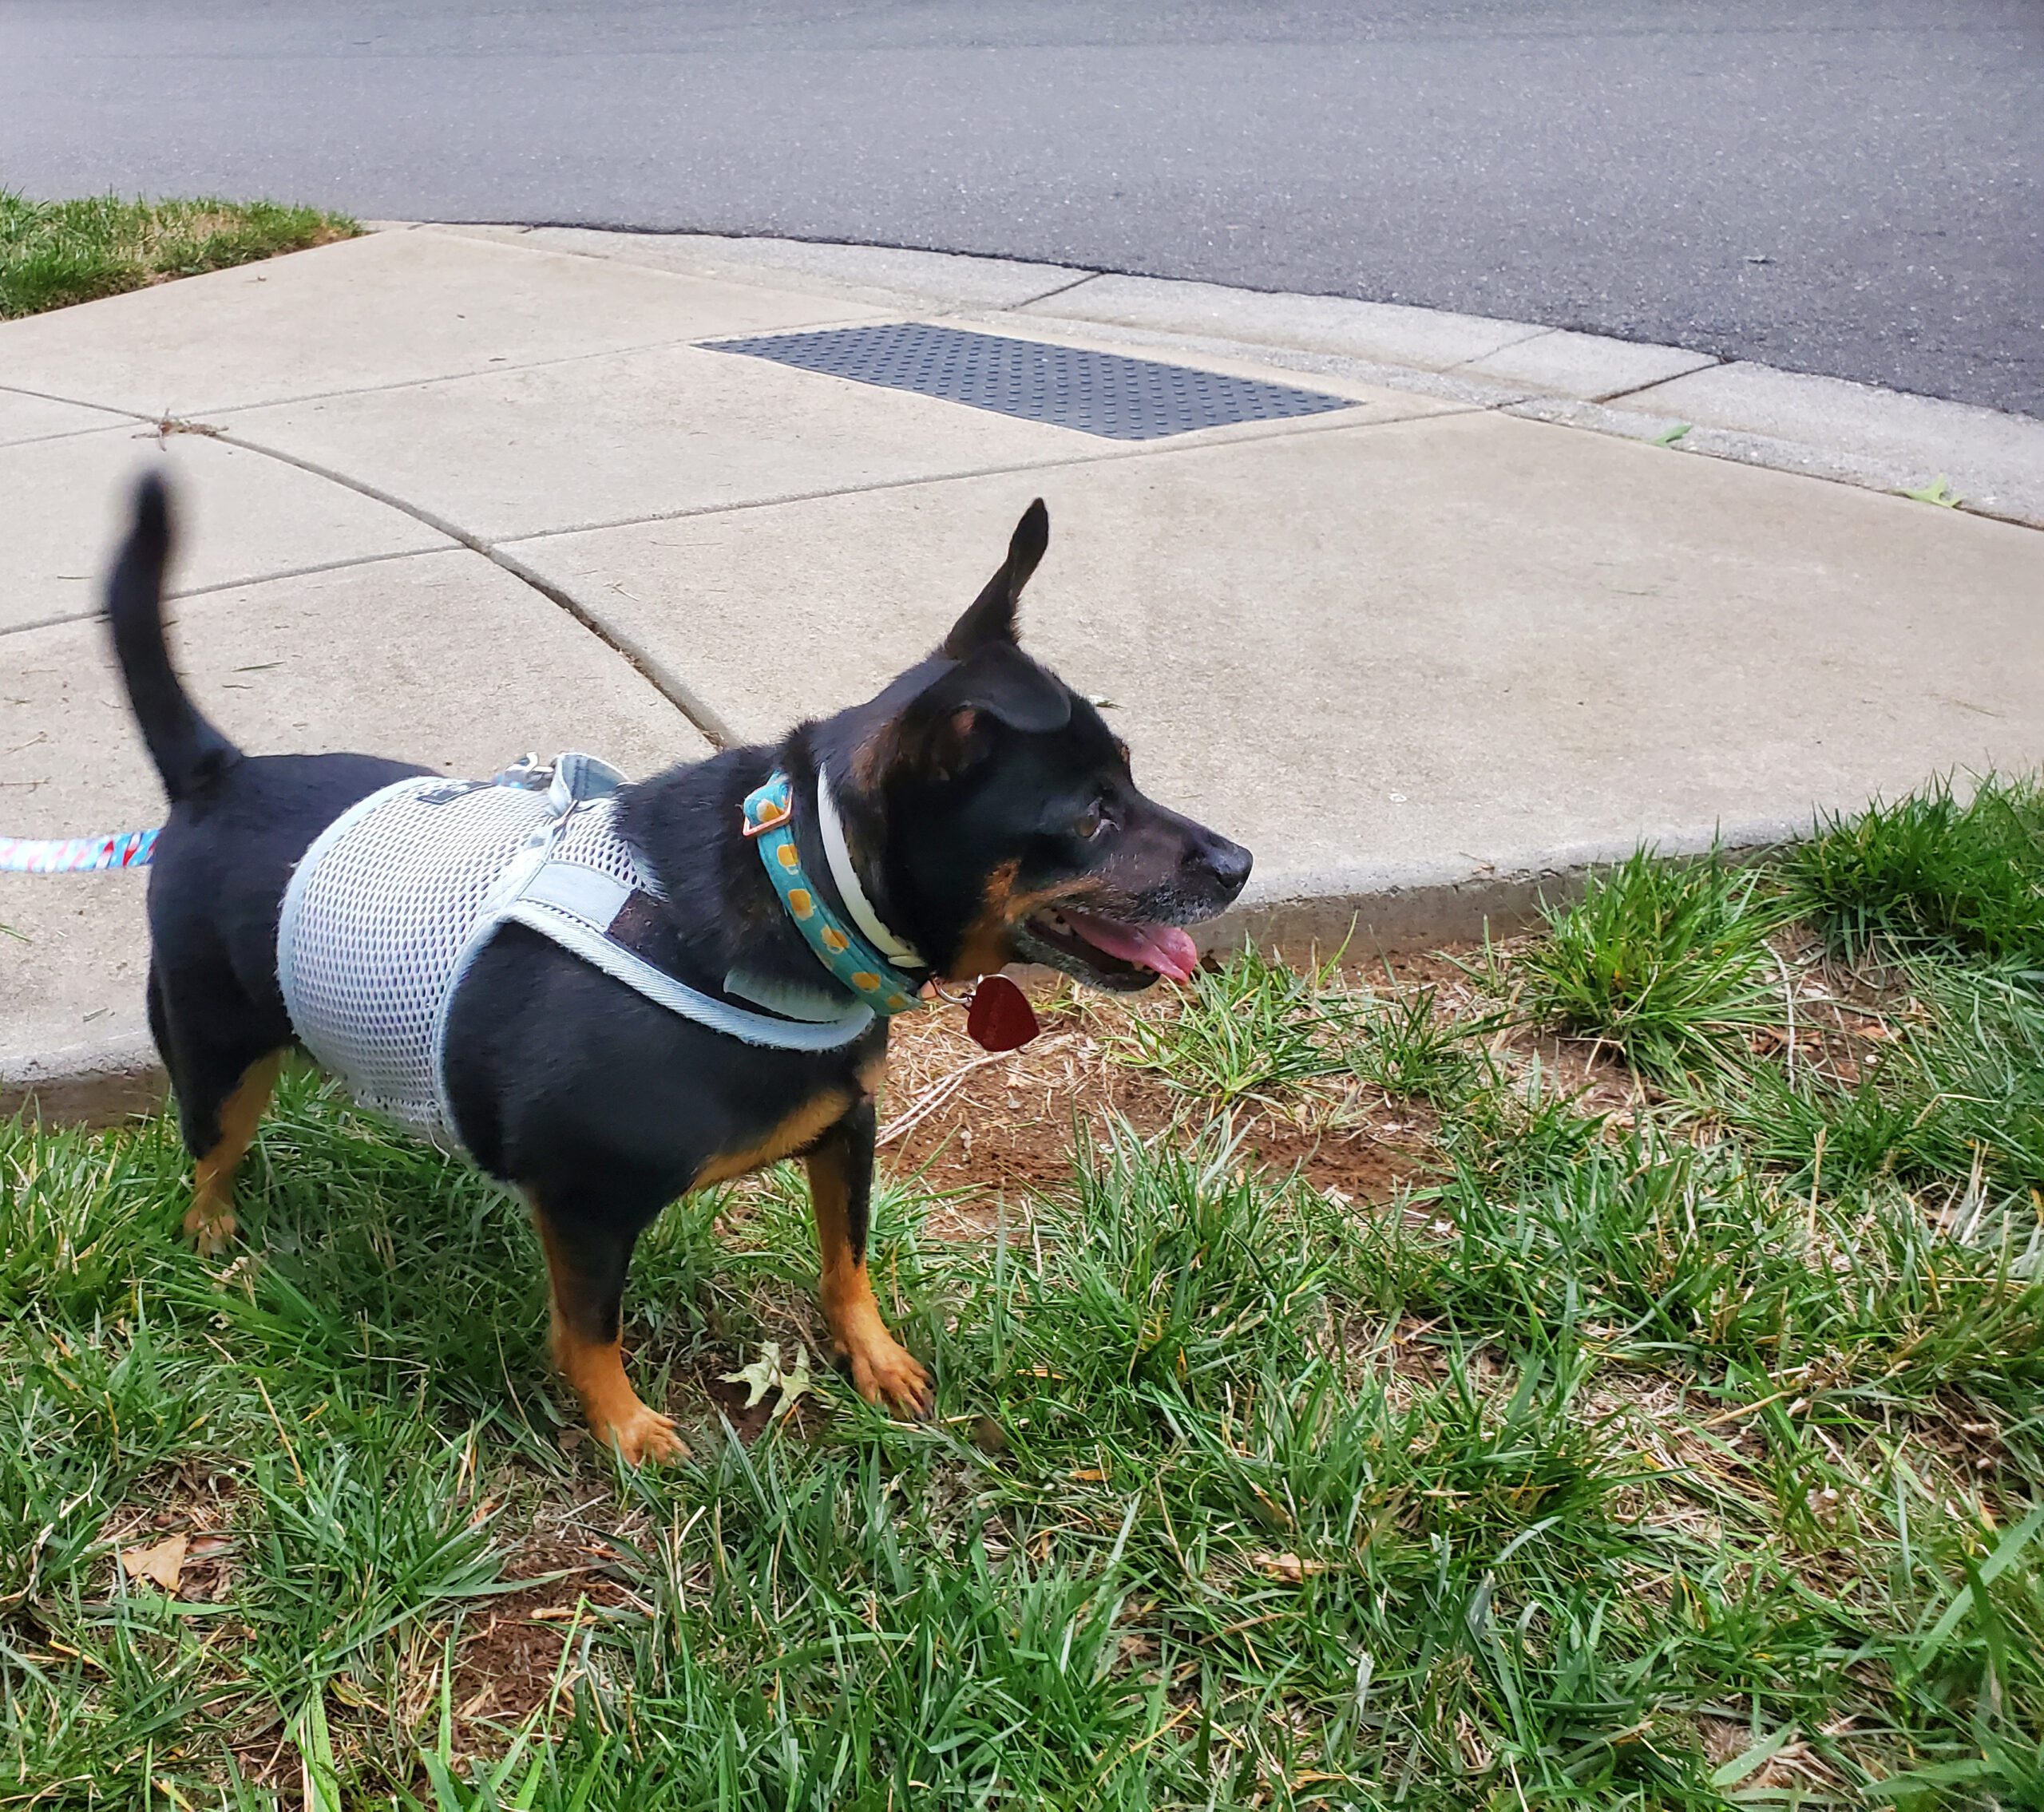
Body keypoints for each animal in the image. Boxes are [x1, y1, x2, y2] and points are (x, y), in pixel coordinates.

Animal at [119, 477, 1250, 1462]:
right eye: (1093, 815)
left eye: (1131, 779)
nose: (1238, 863)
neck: (799, 893)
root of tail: (216, 774)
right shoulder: (585, 1205)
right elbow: (590, 1330)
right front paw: (624, 1428)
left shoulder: (847, 1128)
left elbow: (847, 1259)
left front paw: (872, 1358)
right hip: (213, 1051)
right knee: (210, 1148)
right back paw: (212, 1231)